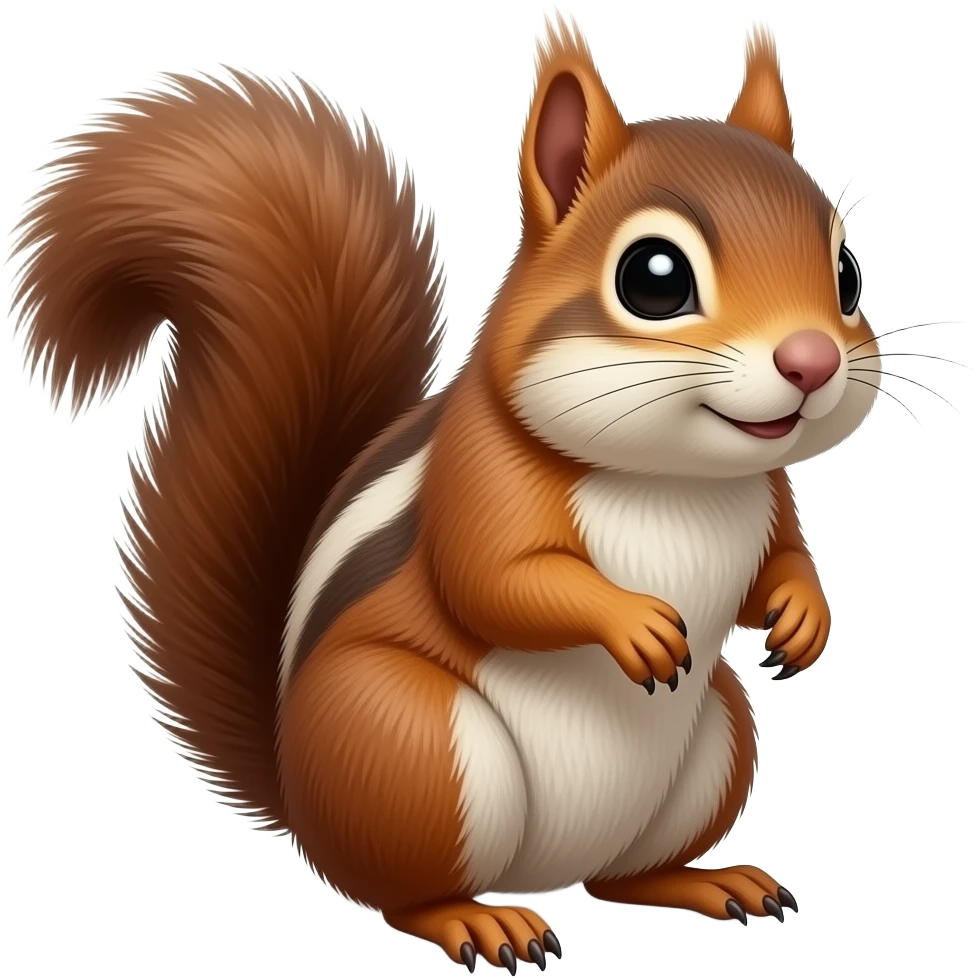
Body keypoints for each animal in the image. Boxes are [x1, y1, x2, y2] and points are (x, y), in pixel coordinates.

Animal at [5, 9, 880, 973]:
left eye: (848, 273)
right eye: (654, 277)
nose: (812, 361)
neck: (675, 483)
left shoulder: (768, 498)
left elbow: (781, 563)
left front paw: (804, 618)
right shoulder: (482, 482)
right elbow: (495, 581)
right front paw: (636, 624)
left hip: (719, 738)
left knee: (623, 877)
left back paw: (707, 882)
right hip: (410, 744)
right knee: (401, 893)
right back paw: (477, 922)